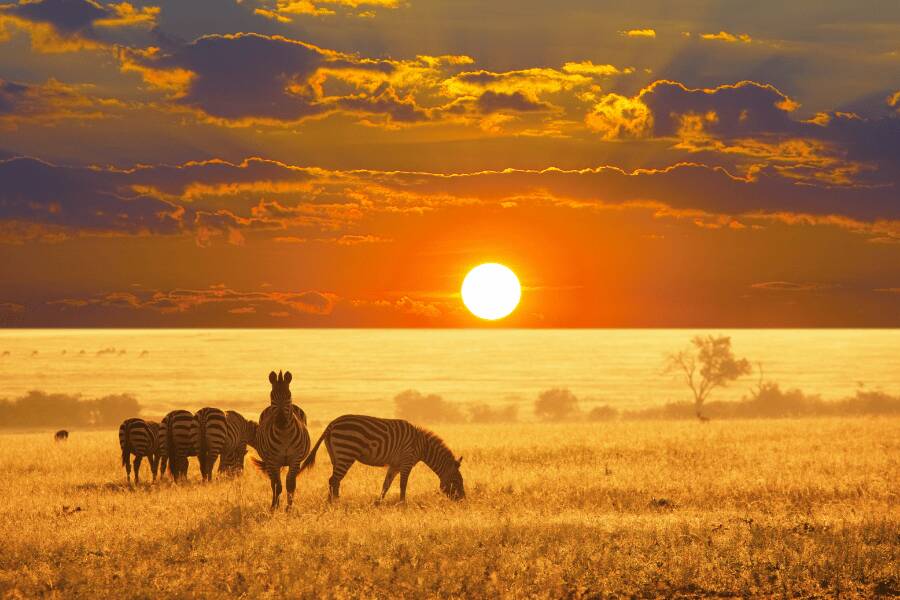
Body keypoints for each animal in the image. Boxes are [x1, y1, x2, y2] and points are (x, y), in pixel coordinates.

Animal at [253, 370, 311, 510]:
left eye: (288, 395)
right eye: (272, 396)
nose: (280, 421)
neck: (284, 434)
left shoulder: (295, 460)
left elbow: (290, 485)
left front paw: (289, 508)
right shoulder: (273, 461)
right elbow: (278, 486)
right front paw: (275, 507)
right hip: (270, 462)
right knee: (273, 483)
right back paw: (274, 503)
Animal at [299, 415, 465, 502]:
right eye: (457, 481)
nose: (463, 499)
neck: (422, 446)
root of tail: (332, 423)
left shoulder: (395, 464)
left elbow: (386, 484)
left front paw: (378, 503)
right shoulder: (406, 461)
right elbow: (403, 485)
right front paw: (403, 504)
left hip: (336, 456)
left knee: (335, 480)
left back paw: (334, 501)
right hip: (346, 453)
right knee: (333, 480)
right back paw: (333, 503)